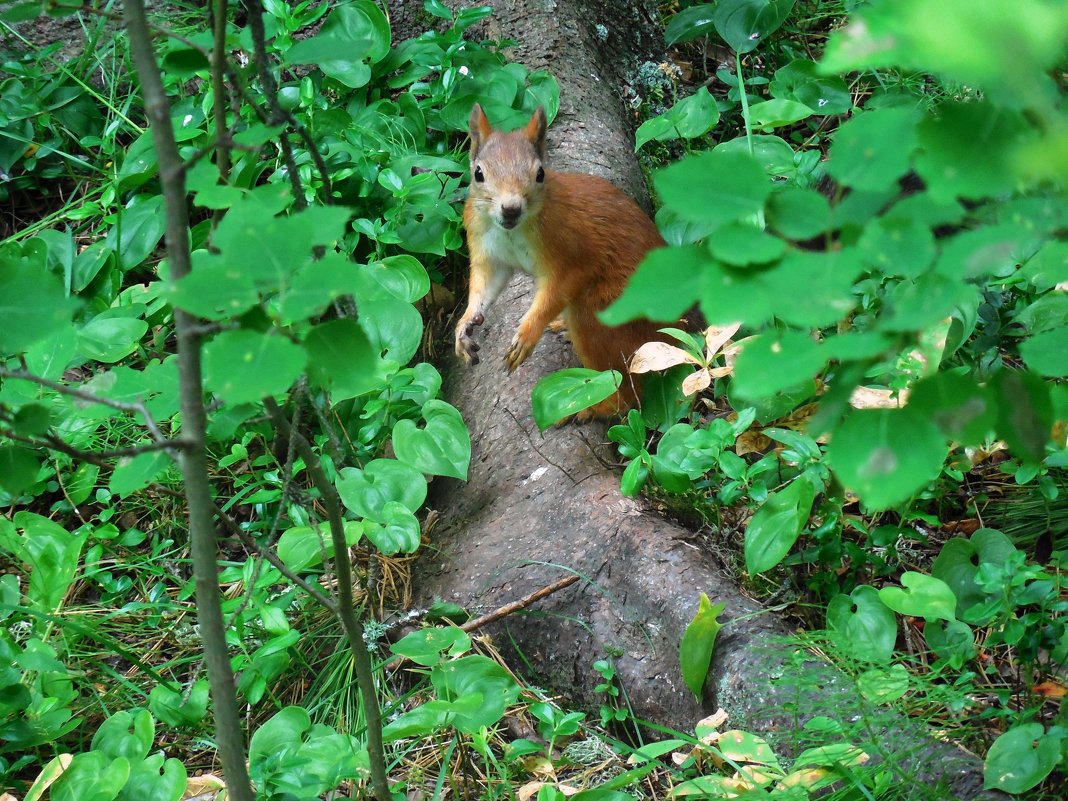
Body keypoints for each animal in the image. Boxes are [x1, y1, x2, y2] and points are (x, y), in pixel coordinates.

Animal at [452, 103, 674, 420]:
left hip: (601, 313)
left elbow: (559, 289)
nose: (510, 208)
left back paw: (592, 407)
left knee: (628, 392)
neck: (512, 231)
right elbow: (486, 285)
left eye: (540, 173)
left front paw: (527, 334)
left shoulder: (571, 249)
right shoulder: (488, 248)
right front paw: (465, 323)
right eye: (478, 173)